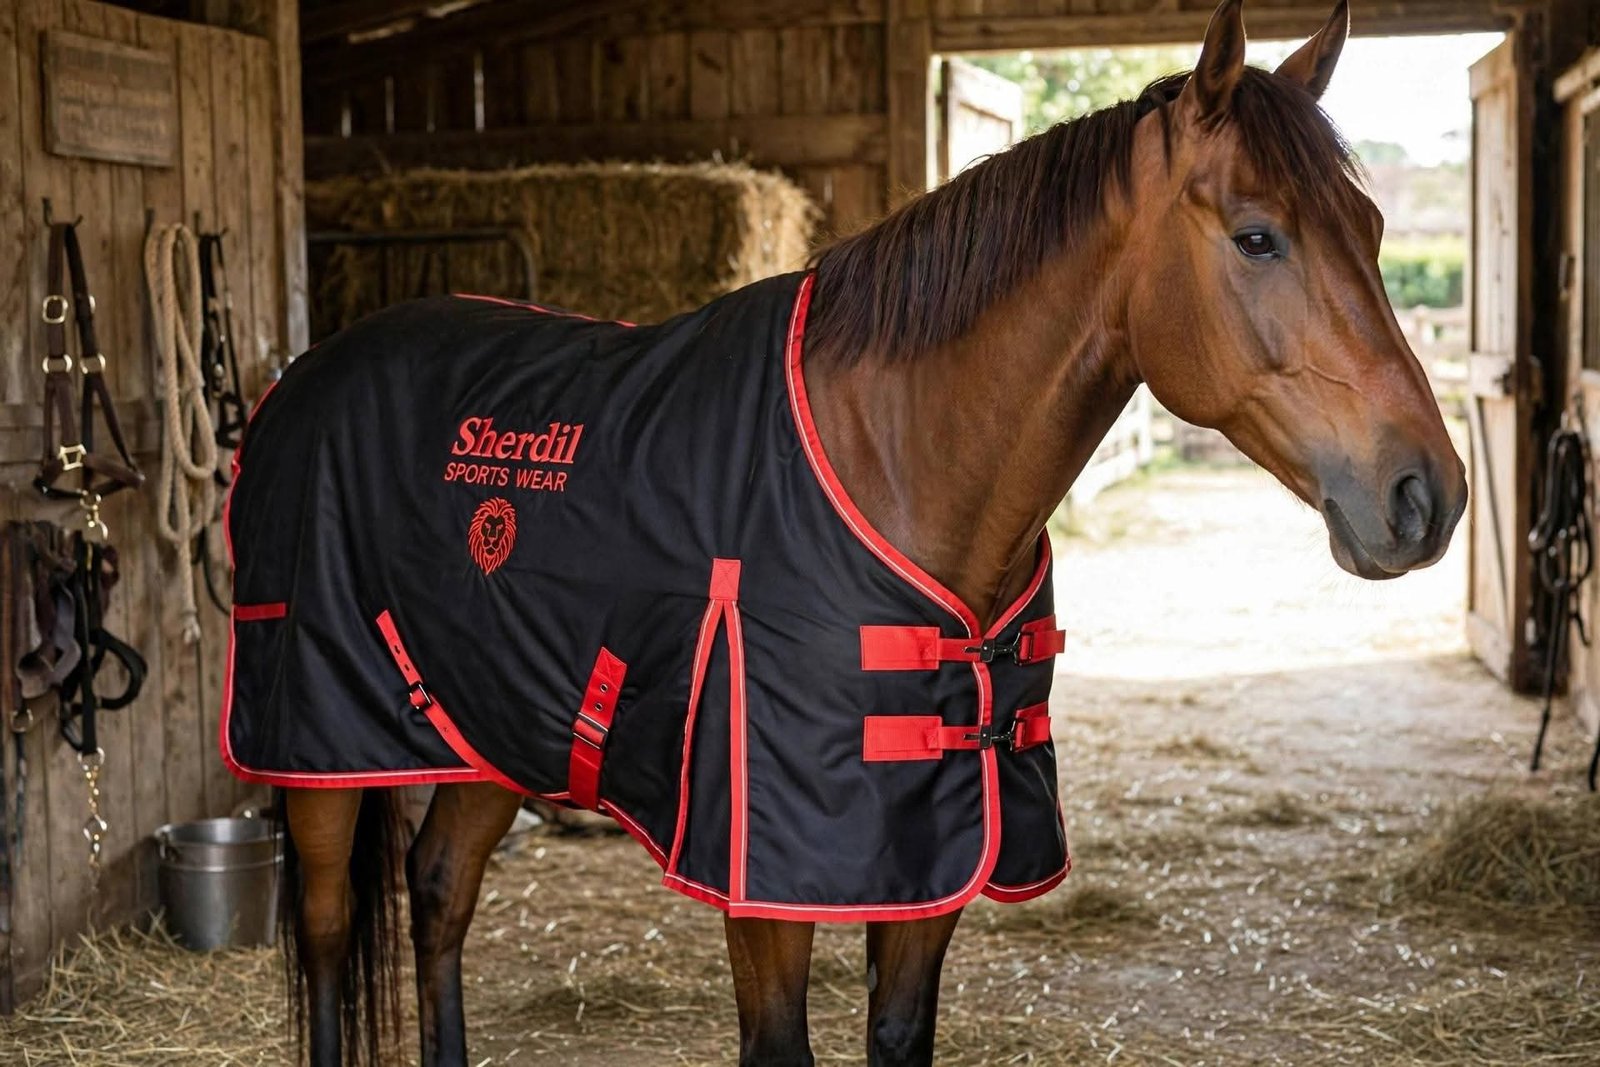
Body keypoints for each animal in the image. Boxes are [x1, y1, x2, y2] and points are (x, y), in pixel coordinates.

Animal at [244, 1, 1466, 1063]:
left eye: (1370, 227)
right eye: (1257, 237)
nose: (1429, 495)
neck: (898, 463)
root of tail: (309, 371)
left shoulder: (930, 856)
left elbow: (899, 1033)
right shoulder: (763, 877)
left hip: (493, 724)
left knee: (440, 891)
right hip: (318, 742)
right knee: (325, 930)